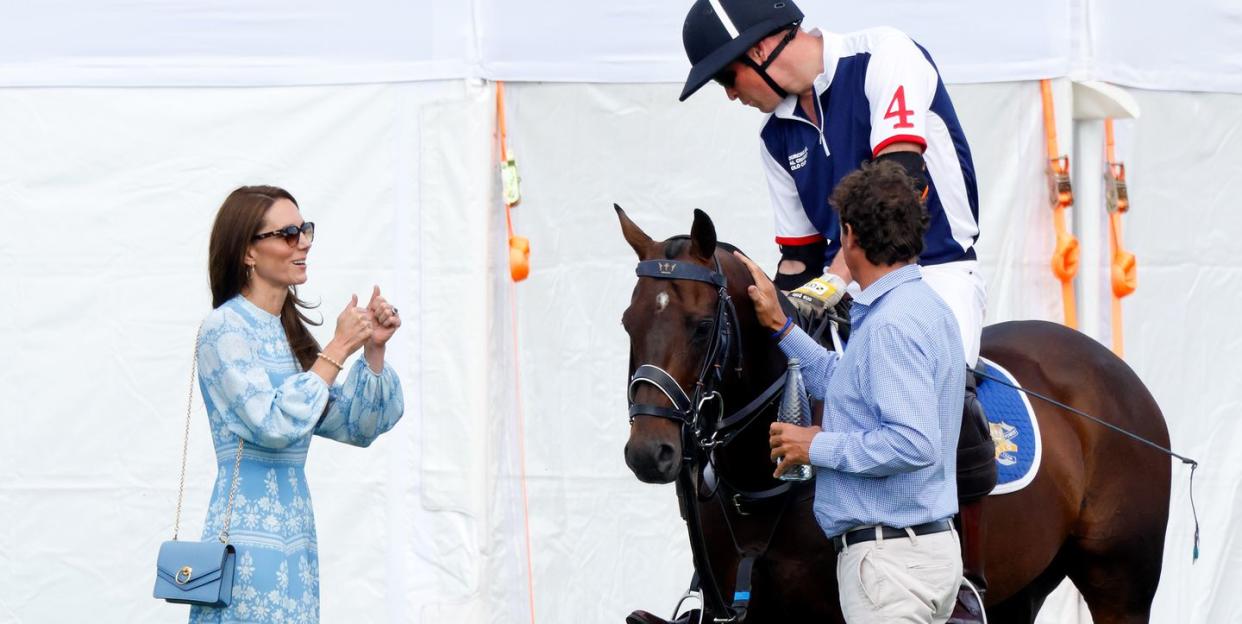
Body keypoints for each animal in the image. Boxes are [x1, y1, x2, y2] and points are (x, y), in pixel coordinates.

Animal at [621, 206, 1172, 624]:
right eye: (628, 322)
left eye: (700, 325)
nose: (649, 453)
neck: (760, 483)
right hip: (1024, 587)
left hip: (1121, 586)